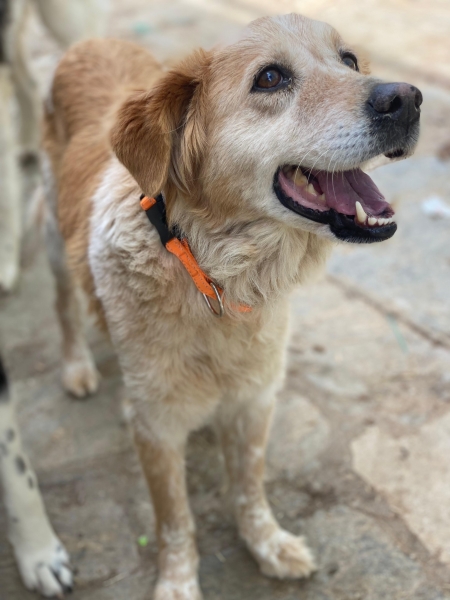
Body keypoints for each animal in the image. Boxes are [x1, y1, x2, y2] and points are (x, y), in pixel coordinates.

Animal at [41, 14, 422, 599]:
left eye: (350, 60)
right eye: (269, 78)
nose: (408, 99)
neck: (218, 275)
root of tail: (90, 41)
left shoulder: (256, 399)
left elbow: (249, 486)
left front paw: (267, 544)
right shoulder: (156, 425)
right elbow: (175, 518)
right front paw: (177, 583)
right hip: (52, 242)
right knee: (64, 307)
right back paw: (77, 366)